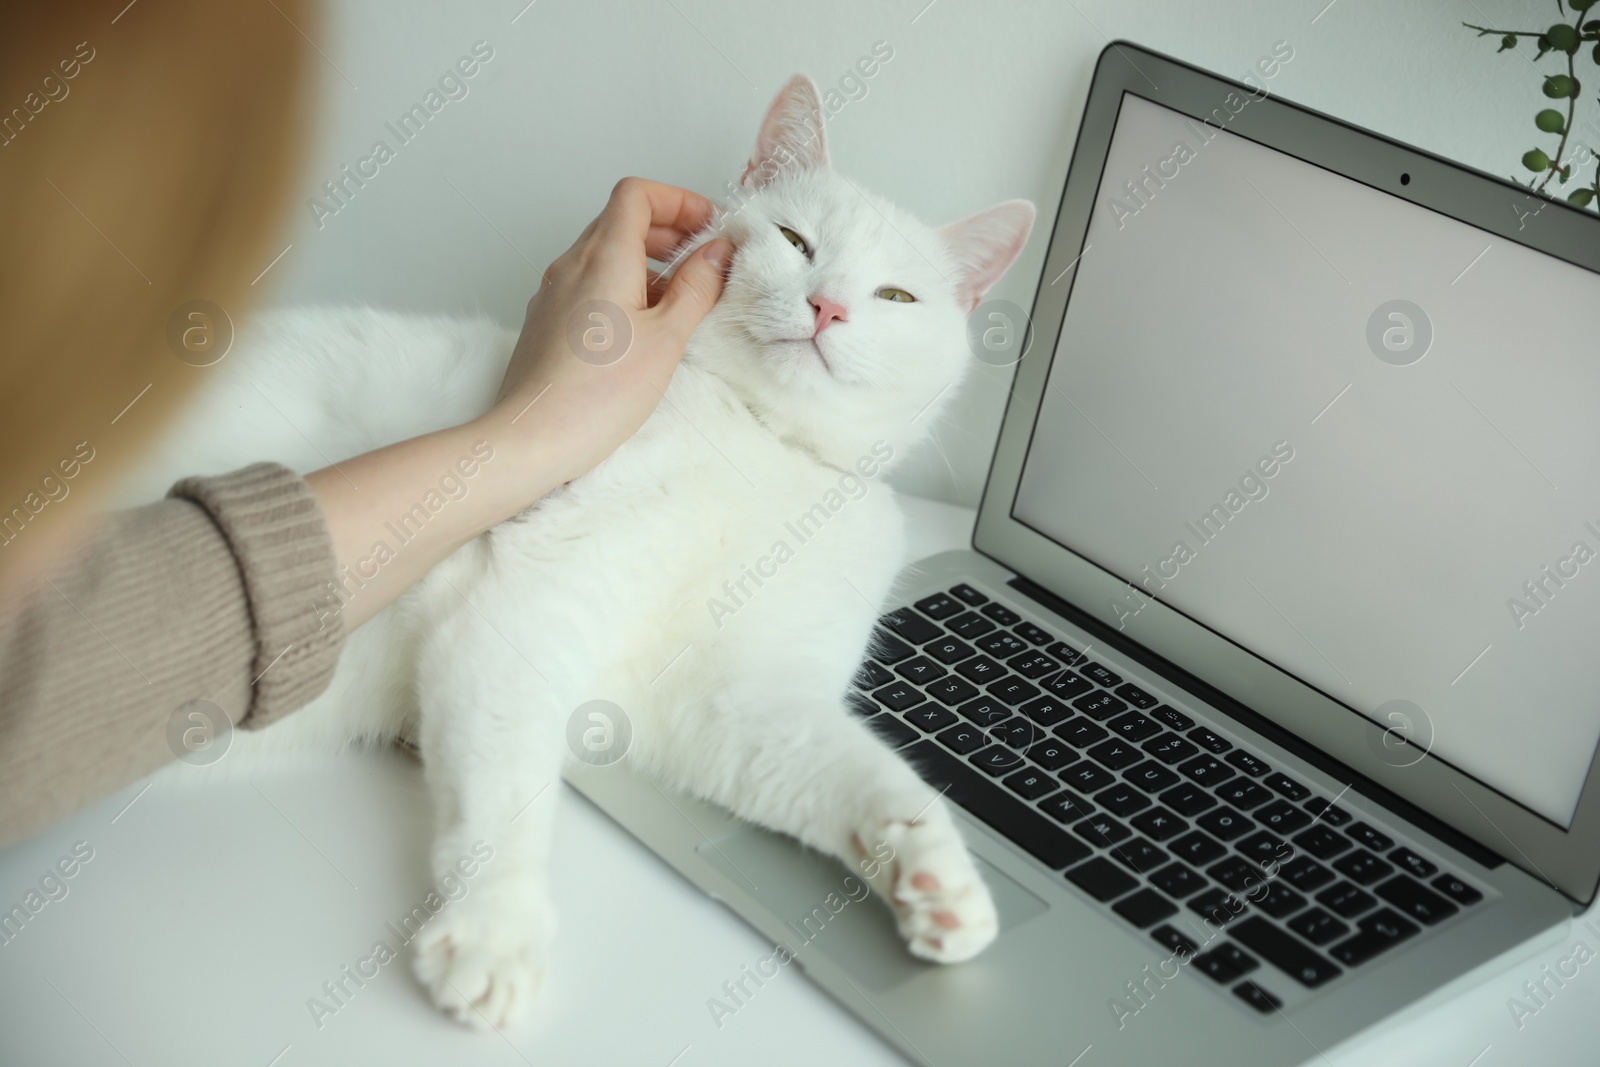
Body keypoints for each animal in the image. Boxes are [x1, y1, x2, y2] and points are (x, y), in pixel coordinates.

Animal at [134, 75, 1036, 1023]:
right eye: (796, 241)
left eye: (897, 298)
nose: (828, 305)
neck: (761, 449)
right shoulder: (531, 604)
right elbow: (505, 786)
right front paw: (495, 930)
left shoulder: (737, 698)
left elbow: (863, 773)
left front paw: (939, 880)